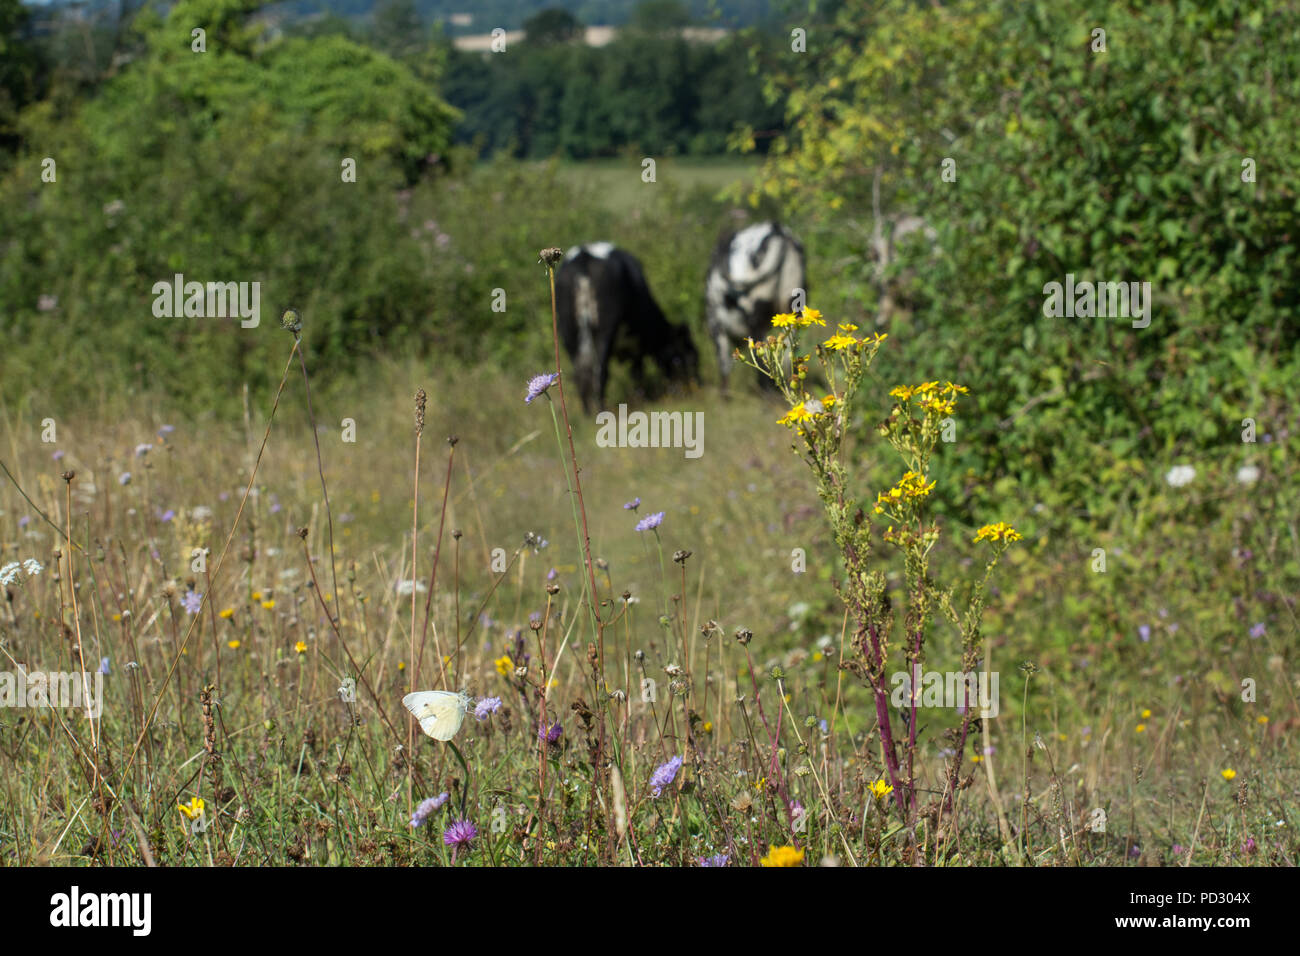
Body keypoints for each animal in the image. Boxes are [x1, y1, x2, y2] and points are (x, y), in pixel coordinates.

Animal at [559, 240, 702, 413]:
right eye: (691, 357)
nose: (698, 384)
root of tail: (584, 255)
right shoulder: (637, 343)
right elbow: (637, 372)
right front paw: (642, 398)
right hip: (604, 329)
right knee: (599, 372)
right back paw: (601, 409)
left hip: (568, 331)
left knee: (580, 373)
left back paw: (587, 412)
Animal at [707, 222, 806, 390]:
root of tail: (777, 231)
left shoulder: (716, 326)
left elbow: (724, 365)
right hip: (790, 311)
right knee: (787, 356)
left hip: (754, 319)